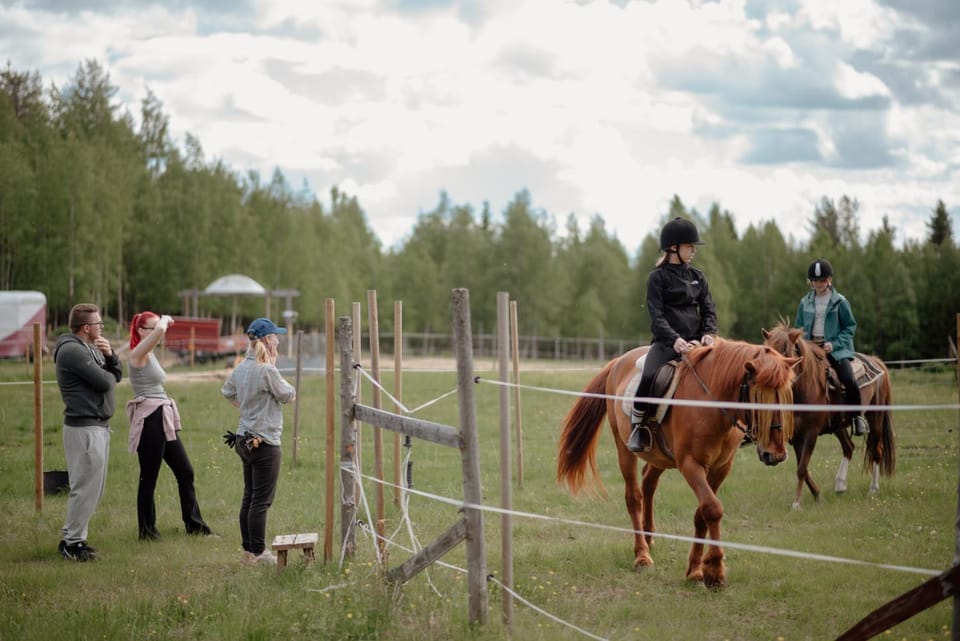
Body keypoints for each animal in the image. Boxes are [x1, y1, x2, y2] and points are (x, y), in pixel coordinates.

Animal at [556, 338, 799, 589]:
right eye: (759, 397)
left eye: (787, 397)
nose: (776, 454)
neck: (709, 403)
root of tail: (618, 362)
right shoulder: (690, 464)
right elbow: (712, 509)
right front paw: (714, 571)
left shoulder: (721, 467)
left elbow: (702, 513)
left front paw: (696, 570)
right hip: (624, 448)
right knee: (634, 496)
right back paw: (642, 556)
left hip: (660, 456)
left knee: (649, 483)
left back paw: (649, 537)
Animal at [761, 321, 895, 509]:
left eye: (786, 353)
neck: (804, 388)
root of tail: (876, 361)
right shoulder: (796, 435)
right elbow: (803, 467)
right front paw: (817, 495)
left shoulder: (811, 433)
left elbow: (801, 468)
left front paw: (796, 503)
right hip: (839, 425)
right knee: (849, 447)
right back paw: (840, 485)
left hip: (875, 418)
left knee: (877, 450)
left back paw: (873, 489)